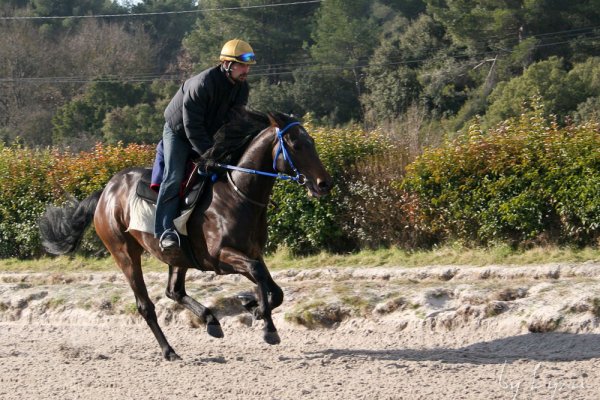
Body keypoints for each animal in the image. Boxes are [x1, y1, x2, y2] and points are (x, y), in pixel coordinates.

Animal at [38, 109, 332, 360]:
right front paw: (267, 325)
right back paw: (169, 351)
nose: (323, 183)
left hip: (177, 255)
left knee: (174, 291)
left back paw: (211, 321)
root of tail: (106, 192)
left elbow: (274, 288)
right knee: (146, 305)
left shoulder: (251, 252)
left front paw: (254, 305)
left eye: (312, 142)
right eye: (295, 145)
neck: (237, 195)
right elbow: (258, 273)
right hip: (124, 252)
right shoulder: (221, 257)